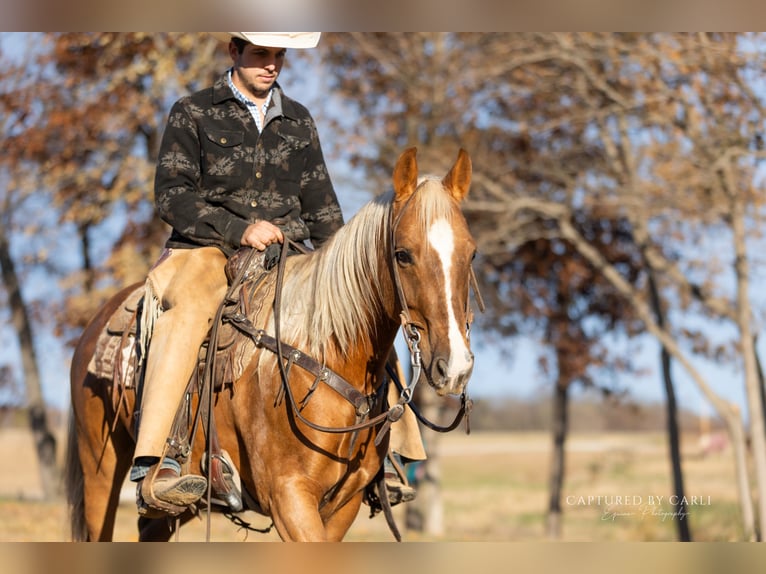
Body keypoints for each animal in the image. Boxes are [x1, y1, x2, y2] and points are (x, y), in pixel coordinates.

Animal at [65, 147, 479, 541]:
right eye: (403, 254)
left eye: (471, 252)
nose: (455, 367)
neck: (320, 354)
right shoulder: (289, 497)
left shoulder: (344, 504)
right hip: (100, 469)